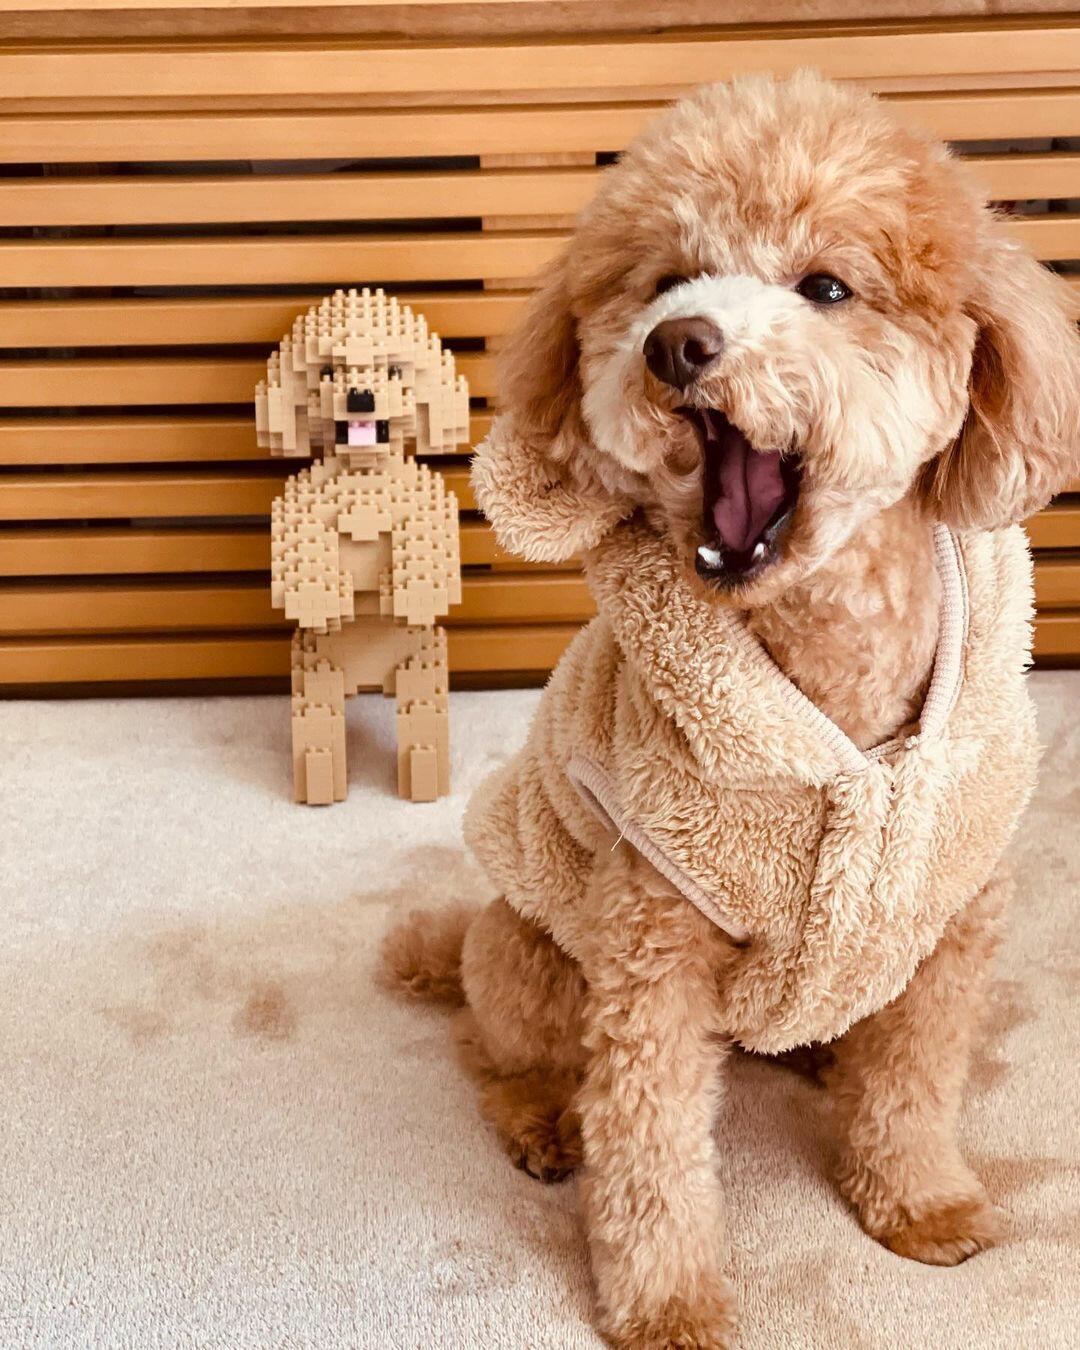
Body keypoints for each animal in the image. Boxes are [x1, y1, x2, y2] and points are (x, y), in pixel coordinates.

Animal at [382, 73, 1080, 1348]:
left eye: (827, 288)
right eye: (665, 280)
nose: (678, 344)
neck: (833, 686)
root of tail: (458, 938)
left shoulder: (949, 923)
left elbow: (913, 1087)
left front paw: (920, 1202)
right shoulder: (652, 947)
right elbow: (651, 1148)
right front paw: (666, 1304)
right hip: (532, 959)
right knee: (490, 1048)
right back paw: (542, 1122)